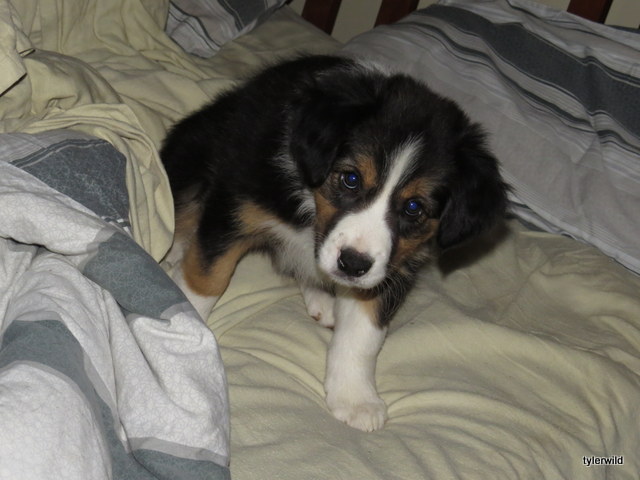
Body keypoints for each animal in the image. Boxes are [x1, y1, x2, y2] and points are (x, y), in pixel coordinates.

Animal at [160, 55, 508, 431]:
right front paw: (182, 341)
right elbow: (207, 279)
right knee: (184, 208)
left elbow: (363, 333)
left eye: (414, 208)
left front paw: (355, 399)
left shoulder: (389, 267)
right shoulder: (234, 205)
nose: (352, 265)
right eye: (351, 178)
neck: (311, 205)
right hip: (195, 149)